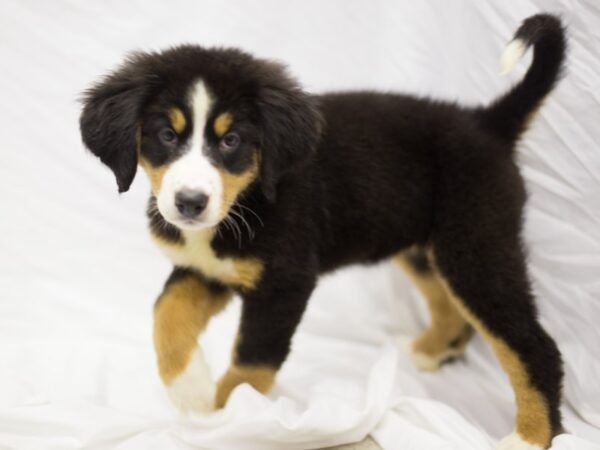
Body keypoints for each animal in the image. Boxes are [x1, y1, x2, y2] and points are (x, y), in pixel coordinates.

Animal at [79, 14, 568, 450]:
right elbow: (166, 313)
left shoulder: (284, 280)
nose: (190, 203)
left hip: (475, 246)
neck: (247, 201)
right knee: (450, 308)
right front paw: (190, 388)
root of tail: (487, 122)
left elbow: (252, 360)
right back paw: (429, 352)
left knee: (533, 345)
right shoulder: (210, 270)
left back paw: (530, 437)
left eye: (231, 141)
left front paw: (230, 418)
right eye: (166, 135)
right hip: (424, 248)